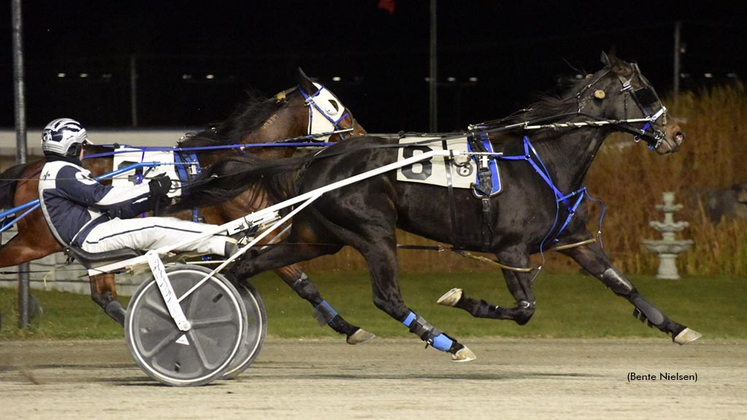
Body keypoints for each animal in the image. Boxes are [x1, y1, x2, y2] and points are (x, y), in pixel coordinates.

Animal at [0, 69, 374, 342]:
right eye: (334, 103)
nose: (361, 133)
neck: (235, 161)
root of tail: (32, 169)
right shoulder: (259, 235)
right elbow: (302, 282)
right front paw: (352, 328)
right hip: (38, 240)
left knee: (104, 297)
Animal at [175, 52, 700, 360]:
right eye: (646, 92)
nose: (677, 134)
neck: (542, 158)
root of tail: (318, 158)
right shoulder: (511, 249)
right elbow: (524, 309)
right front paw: (465, 300)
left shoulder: (575, 240)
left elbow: (623, 285)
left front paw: (675, 327)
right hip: (374, 233)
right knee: (387, 298)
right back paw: (447, 340)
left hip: (318, 238)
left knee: (248, 268)